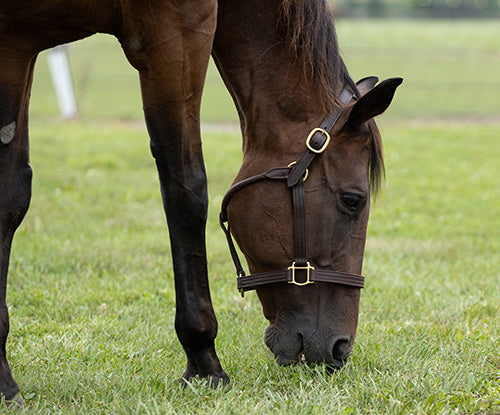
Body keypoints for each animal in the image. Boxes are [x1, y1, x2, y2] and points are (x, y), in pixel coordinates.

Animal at [0, 0, 400, 406]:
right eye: (352, 200)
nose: (341, 347)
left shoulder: (17, 46)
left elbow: (12, 196)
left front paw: (4, 379)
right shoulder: (176, 33)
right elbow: (186, 191)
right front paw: (205, 362)